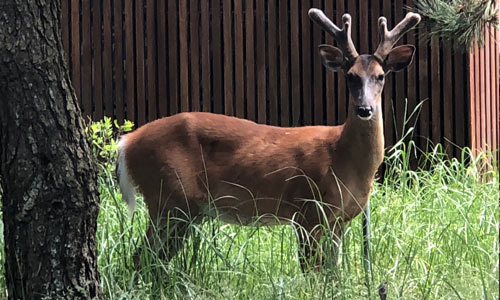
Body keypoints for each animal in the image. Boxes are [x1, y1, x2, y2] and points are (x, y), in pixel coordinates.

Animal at [117, 8, 422, 272]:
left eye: (380, 76)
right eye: (350, 76)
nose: (365, 109)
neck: (342, 159)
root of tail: (127, 142)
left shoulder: (338, 220)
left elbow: (332, 273)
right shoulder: (307, 209)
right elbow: (312, 272)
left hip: (183, 209)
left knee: (152, 260)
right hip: (168, 196)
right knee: (140, 258)